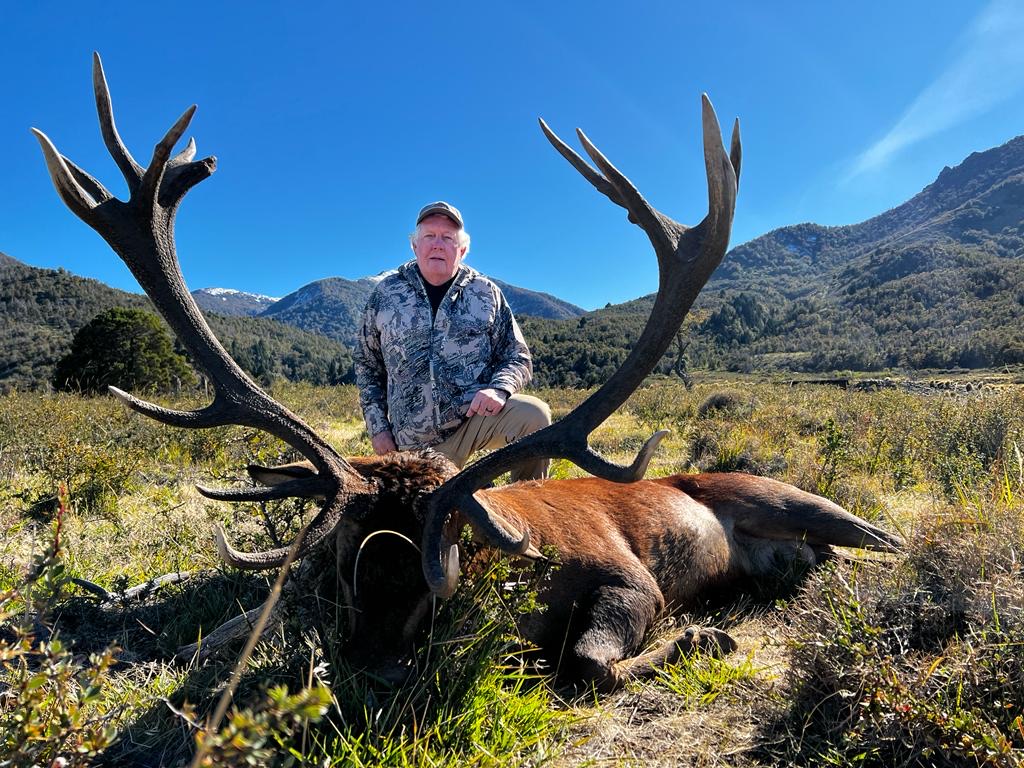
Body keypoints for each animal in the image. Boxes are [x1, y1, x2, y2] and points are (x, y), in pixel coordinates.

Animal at [34, 54, 902, 692]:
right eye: (344, 553)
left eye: (441, 556)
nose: (376, 666)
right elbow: (215, 636)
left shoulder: (632, 578)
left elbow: (590, 663)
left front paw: (705, 639)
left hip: (799, 500)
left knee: (880, 541)